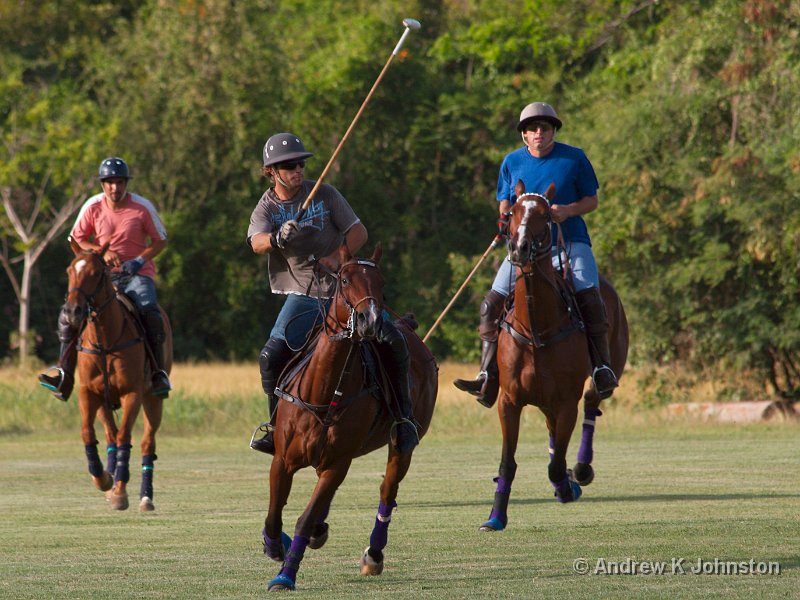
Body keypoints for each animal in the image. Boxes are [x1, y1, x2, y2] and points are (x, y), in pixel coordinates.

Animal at [63, 239, 173, 510]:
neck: (105, 339)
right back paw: (109, 481)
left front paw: (121, 493)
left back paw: (145, 497)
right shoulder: (88, 392)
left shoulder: (132, 393)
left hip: (152, 398)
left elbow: (125, 438)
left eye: (95, 273)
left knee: (146, 442)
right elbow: (88, 433)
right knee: (110, 436)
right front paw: (103, 479)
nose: (72, 311)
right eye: (70, 271)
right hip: (104, 401)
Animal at [260, 244, 438, 592]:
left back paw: (374, 555)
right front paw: (275, 547)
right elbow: (274, 515)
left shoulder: (336, 463)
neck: (323, 391)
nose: (371, 321)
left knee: (387, 491)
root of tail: (409, 329)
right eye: (344, 280)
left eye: (381, 283)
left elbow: (304, 518)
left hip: (402, 443)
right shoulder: (284, 459)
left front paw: (285, 576)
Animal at [478, 180, 628, 532]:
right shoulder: (509, 401)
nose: (519, 248)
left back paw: (581, 471)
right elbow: (507, 464)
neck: (537, 329)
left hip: (607, 369)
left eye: (545, 215)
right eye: (513, 211)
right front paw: (495, 517)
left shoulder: (565, 402)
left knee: (592, 400)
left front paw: (568, 485)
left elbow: (557, 465)